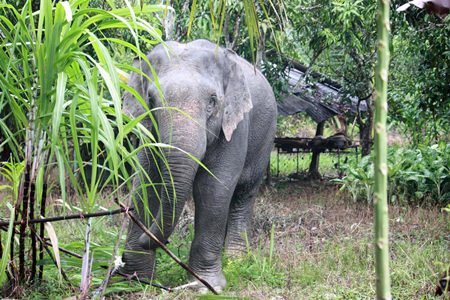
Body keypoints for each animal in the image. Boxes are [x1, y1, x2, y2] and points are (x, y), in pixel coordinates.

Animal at [121, 38, 276, 292]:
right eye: (151, 99)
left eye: (212, 101)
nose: (156, 240)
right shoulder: (146, 128)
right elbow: (147, 180)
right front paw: (135, 279)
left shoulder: (234, 128)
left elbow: (213, 188)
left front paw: (206, 285)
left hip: (266, 138)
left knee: (245, 193)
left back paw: (235, 260)